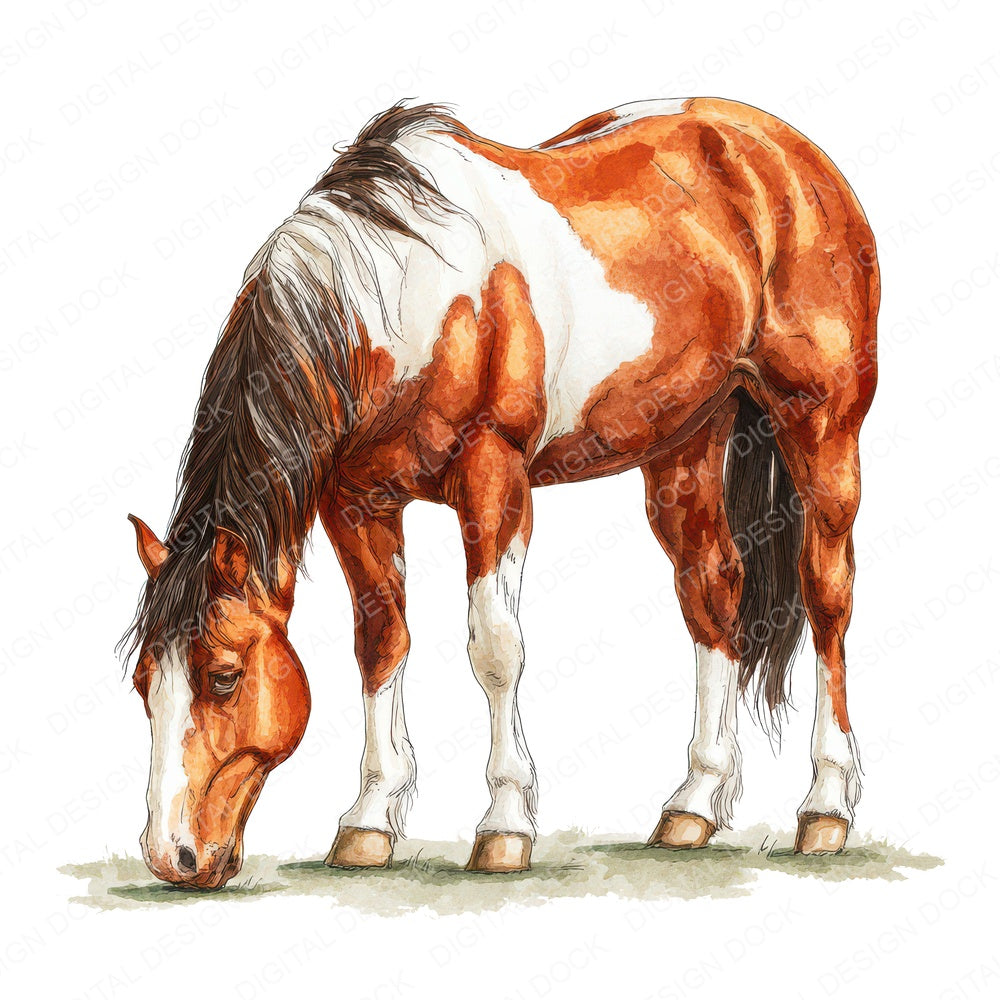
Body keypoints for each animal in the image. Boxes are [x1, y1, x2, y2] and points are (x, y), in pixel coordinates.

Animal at [123, 98, 879, 888]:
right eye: (144, 682)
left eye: (224, 677)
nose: (172, 857)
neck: (411, 294)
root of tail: (781, 149)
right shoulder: (356, 500)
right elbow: (380, 645)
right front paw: (370, 821)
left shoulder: (495, 477)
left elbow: (495, 648)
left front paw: (506, 825)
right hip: (687, 441)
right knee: (713, 592)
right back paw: (693, 807)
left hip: (822, 430)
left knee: (827, 599)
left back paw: (826, 810)